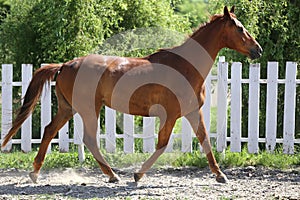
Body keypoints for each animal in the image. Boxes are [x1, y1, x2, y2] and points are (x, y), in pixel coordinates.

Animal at [1, 6, 262, 184]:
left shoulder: (192, 112)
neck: (185, 66)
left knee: (48, 131)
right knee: (88, 139)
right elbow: (162, 144)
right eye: (240, 28)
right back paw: (112, 175)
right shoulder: (171, 115)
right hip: (88, 109)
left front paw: (220, 175)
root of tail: (66, 65)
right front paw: (137, 175)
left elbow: (205, 140)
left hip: (68, 108)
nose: (257, 50)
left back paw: (35, 173)